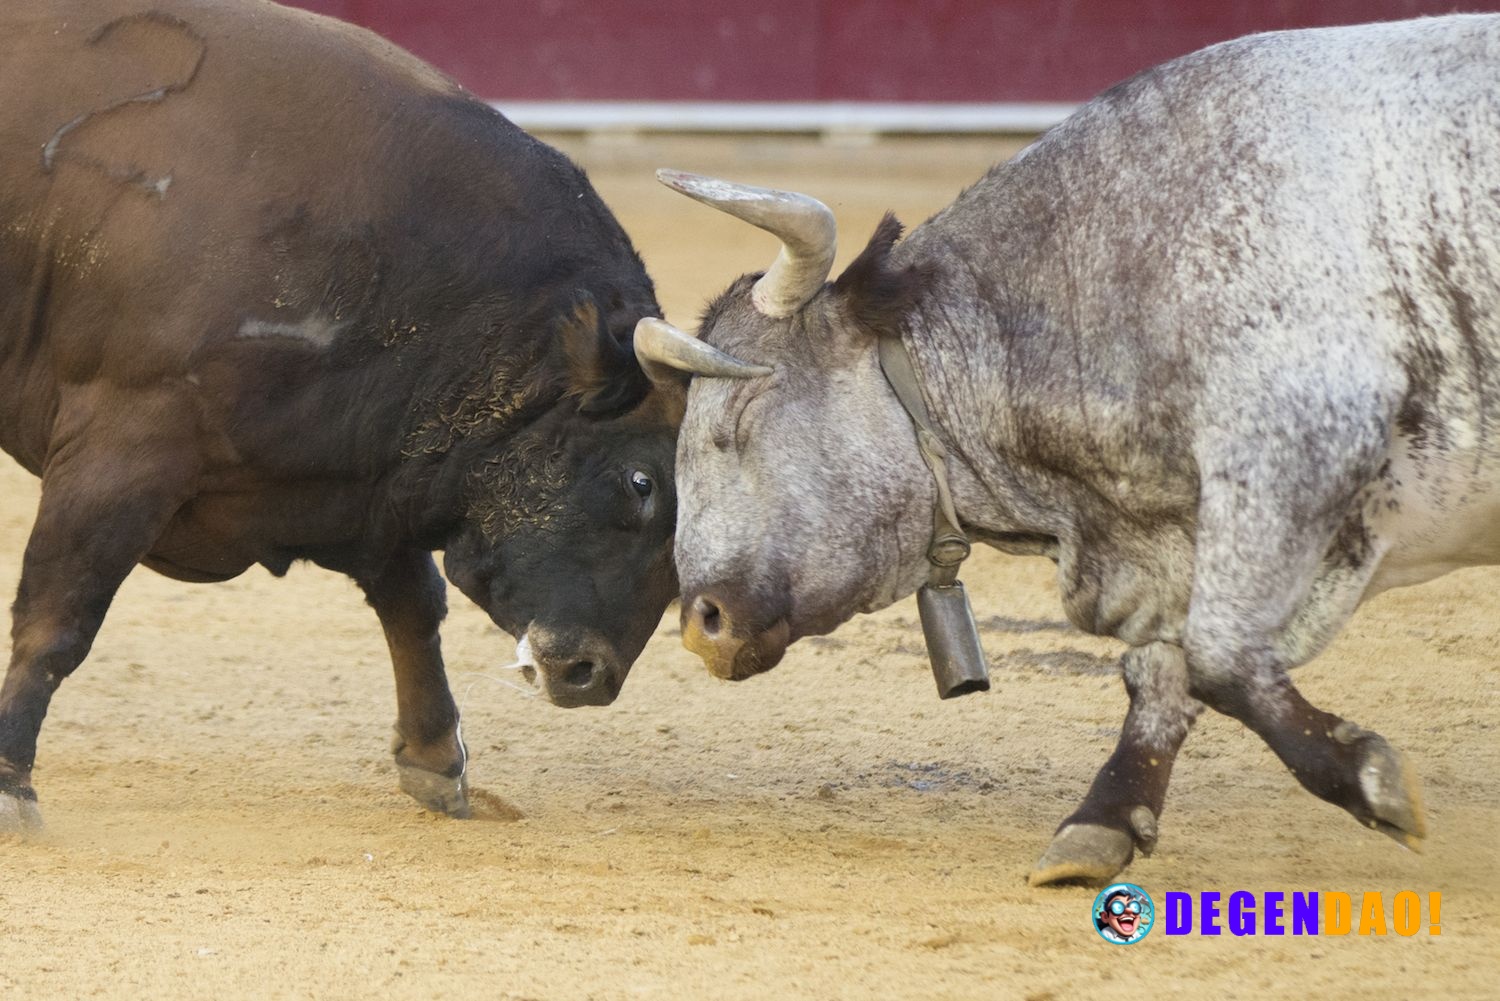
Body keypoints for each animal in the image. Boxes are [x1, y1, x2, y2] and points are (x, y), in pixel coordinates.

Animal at [0, 0, 702, 832]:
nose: (592, 673)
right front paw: (11, 782)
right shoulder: (123, 446)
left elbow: (412, 602)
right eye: (642, 482)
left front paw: (435, 758)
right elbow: (58, 619)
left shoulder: (367, 479)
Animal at [634, 14, 1500, 885]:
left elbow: (1217, 652)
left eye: (743, 413)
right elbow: (1166, 665)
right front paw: (1102, 818)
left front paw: (1369, 776)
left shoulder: (1298, 448)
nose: (700, 622)